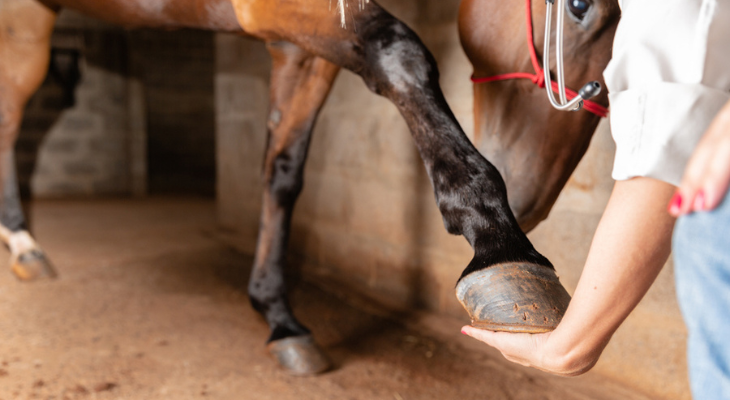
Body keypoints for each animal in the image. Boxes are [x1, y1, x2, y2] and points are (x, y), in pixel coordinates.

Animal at [0, 0, 620, 376]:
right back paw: (23, 244)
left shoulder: (299, 49)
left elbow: (282, 172)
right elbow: (399, 52)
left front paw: (277, 314)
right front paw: (500, 245)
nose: (530, 197)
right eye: (579, 7)